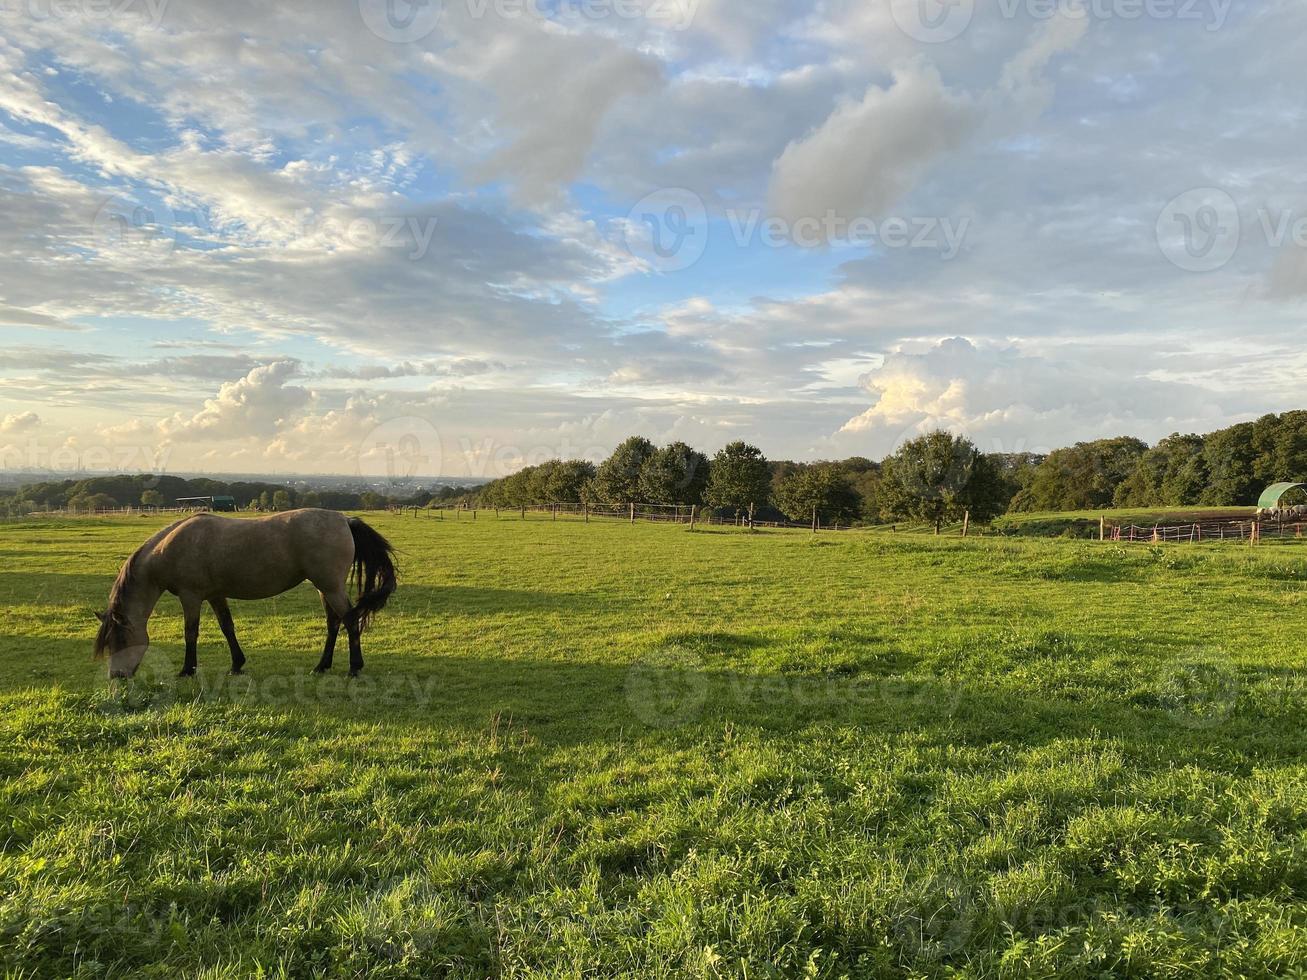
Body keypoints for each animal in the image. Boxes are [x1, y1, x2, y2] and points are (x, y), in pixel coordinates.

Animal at [95, 509, 394, 679]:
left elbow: (190, 632)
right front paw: (237, 664)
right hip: (324, 588)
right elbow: (227, 627)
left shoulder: (191, 597)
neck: (169, 549)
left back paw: (354, 667)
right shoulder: (215, 595)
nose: (116, 676)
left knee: (350, 620)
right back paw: (322, 666)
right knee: (333, 623)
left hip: (331, 588)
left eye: (120, 640)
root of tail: (345, 519)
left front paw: (187, 669)